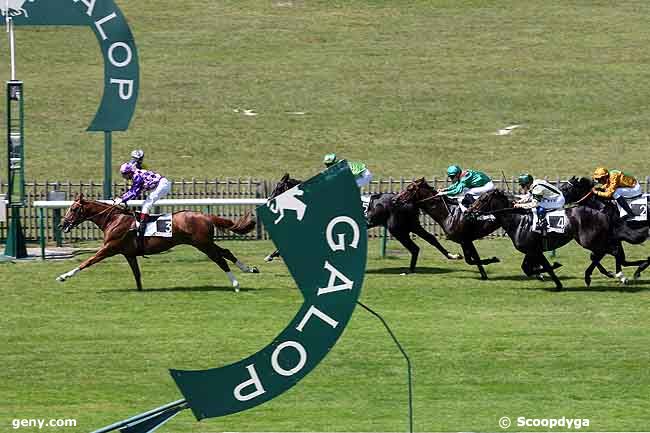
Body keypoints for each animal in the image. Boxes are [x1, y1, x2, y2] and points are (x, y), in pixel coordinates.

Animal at [55, 195, 258, 290]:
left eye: (74, 209)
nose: (61, 224)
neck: (114, 219)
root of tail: (205, 215)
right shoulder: (129, 254)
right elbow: (137, 274)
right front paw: (140, 290)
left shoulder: (109, 248)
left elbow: (87, 262)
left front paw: (63, 276)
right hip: (205, 242)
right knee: (226, 252)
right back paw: (250, 269)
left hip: (202, 244)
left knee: (220, 259)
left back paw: (236, 284)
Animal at [262, 174, 460, 272]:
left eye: (278, 187)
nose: (269, 200)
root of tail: (407, 200)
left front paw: (271, 256)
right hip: (410, 225)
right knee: (430, 239)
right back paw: (450, 256)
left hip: (397, 228)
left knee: (415, 247)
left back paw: (410, 270)